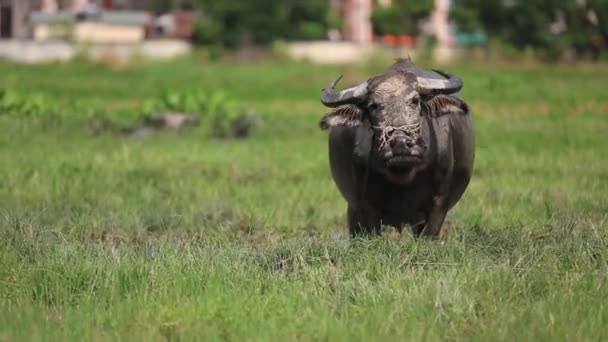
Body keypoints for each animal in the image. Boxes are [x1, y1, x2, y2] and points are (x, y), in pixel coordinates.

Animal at [318, 56, 476, 238]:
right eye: (373, 105)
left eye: (415, 100)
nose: (400, 142)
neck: (403, 175)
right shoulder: (365, 205)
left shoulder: (440, 202)